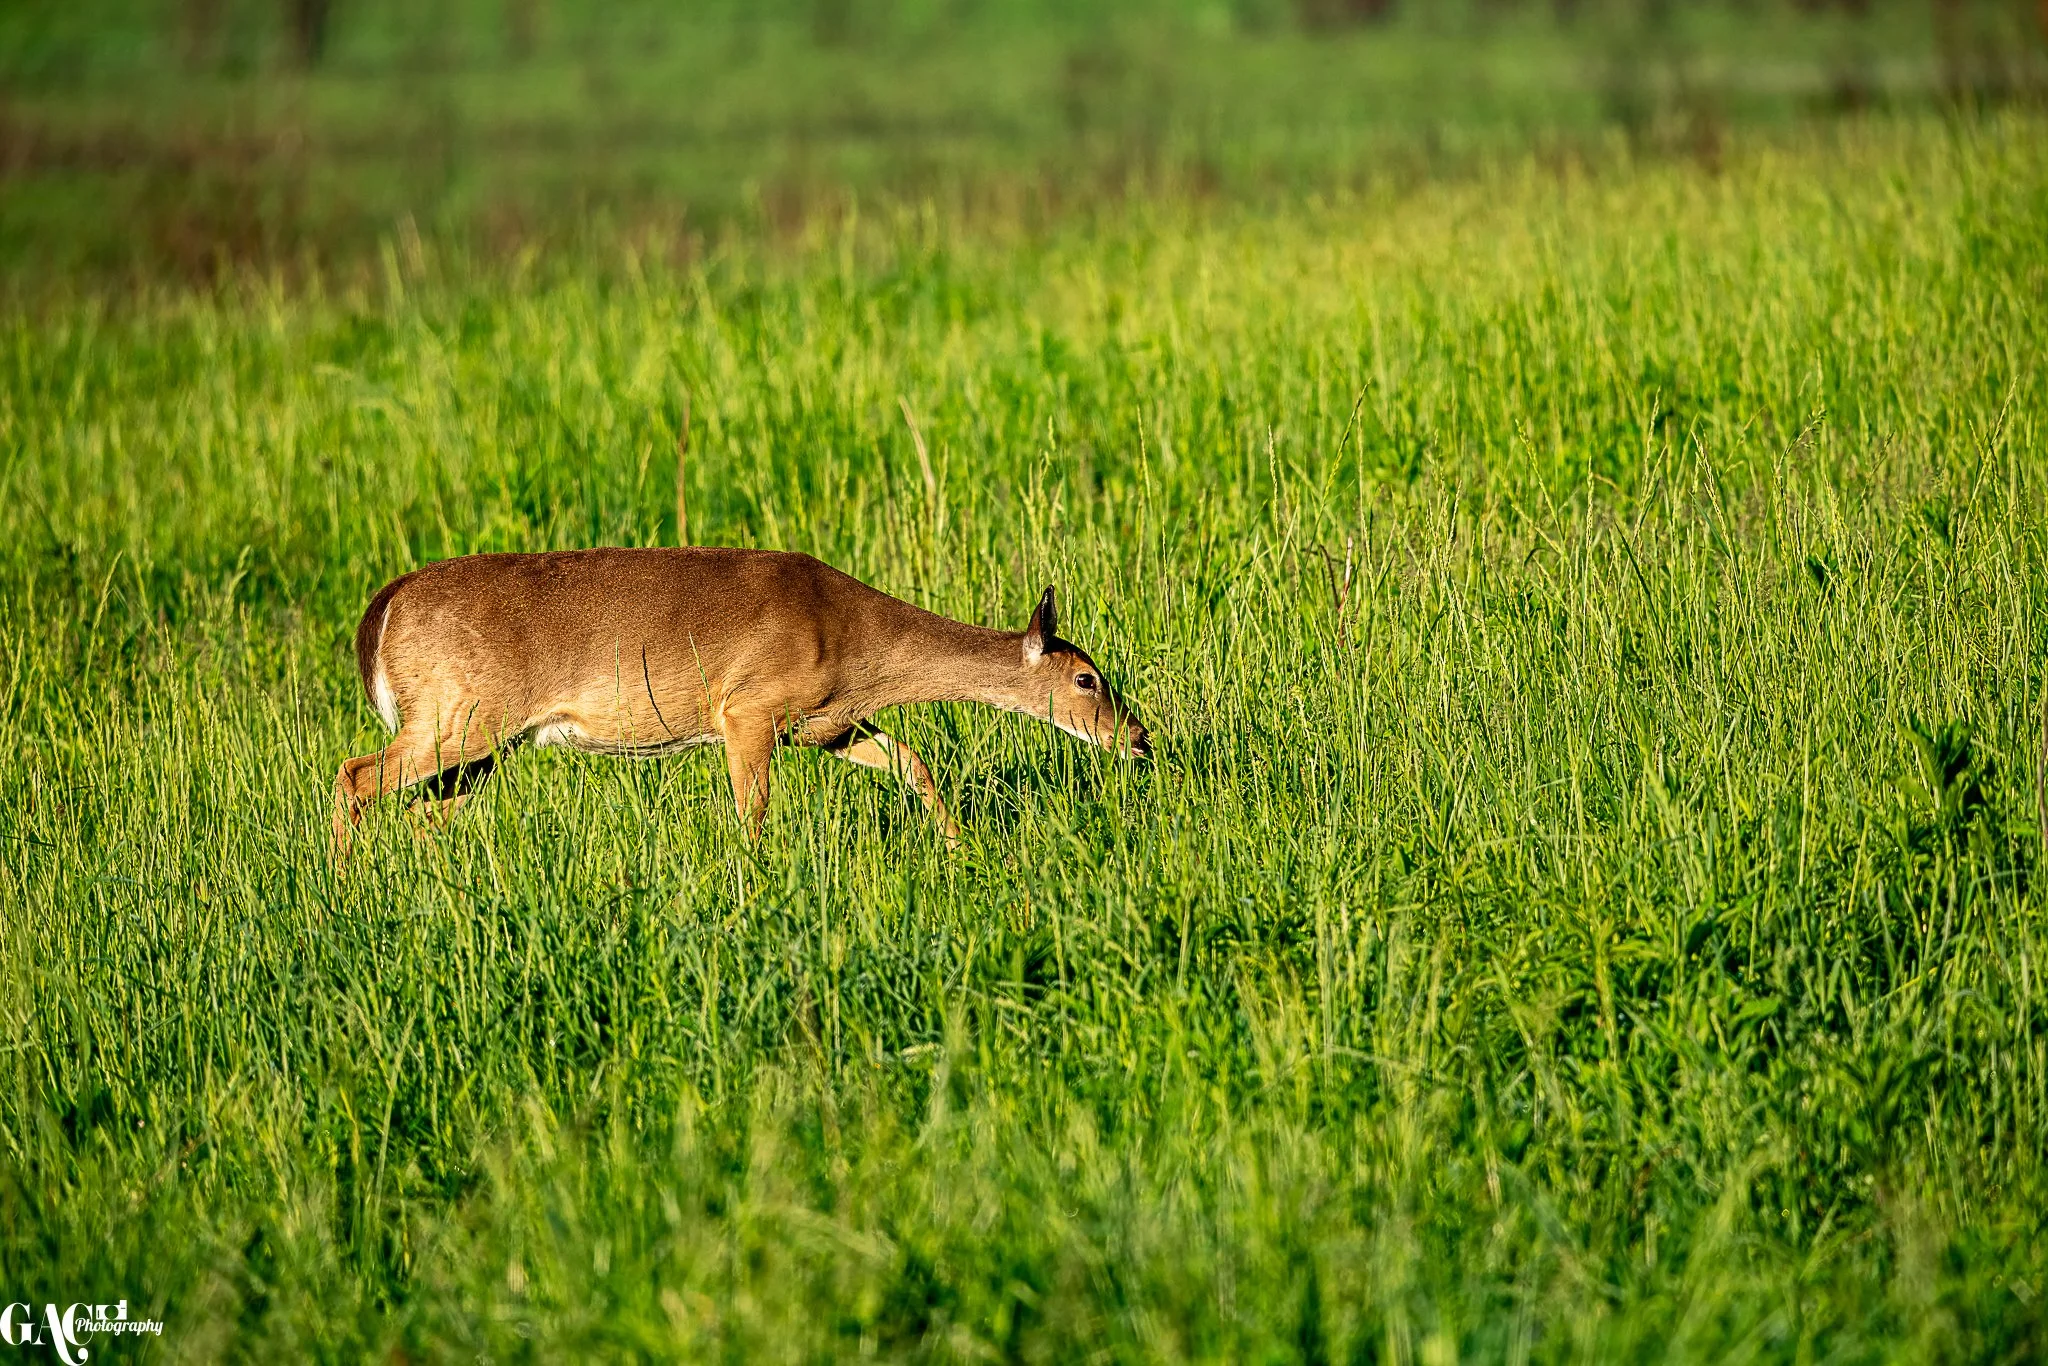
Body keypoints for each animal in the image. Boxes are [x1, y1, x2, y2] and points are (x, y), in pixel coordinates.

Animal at [332, 548, 1149, 854]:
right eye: (1088, 679)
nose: (1139, 738)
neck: (853, 640)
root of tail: (384, 608)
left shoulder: (824, 723)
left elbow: (912, 759)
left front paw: (958, 848)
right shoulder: (747, 707)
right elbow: (751, 812)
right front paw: (754, 889)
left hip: (480, 740)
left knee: (420, 811)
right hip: (457, 712)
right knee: (355, 776)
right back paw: (342, 884)